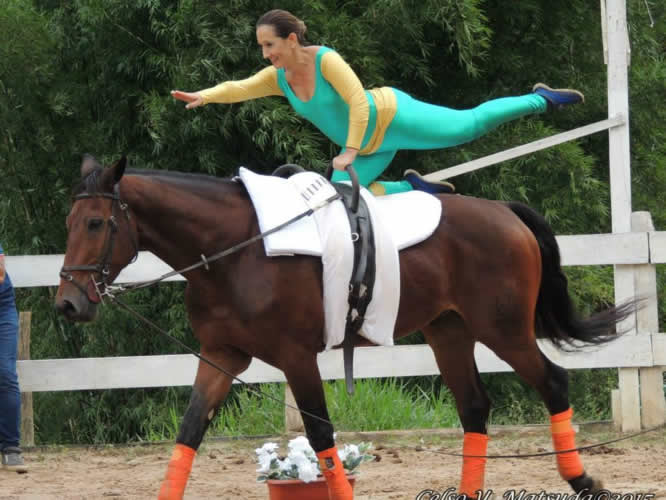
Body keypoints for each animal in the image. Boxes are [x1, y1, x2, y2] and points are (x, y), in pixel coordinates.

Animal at [54, 154, 632, 498]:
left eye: (97, 223)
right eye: (70, 222)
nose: (68, 305)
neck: (234, 249)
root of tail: (506, 213)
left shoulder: (295, 358)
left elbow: (322, 437)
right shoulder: (222, 355)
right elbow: (189, 432)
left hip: (504, 330)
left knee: (553, 383)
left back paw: (582, 479)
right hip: (449, 332)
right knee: (474, 407)